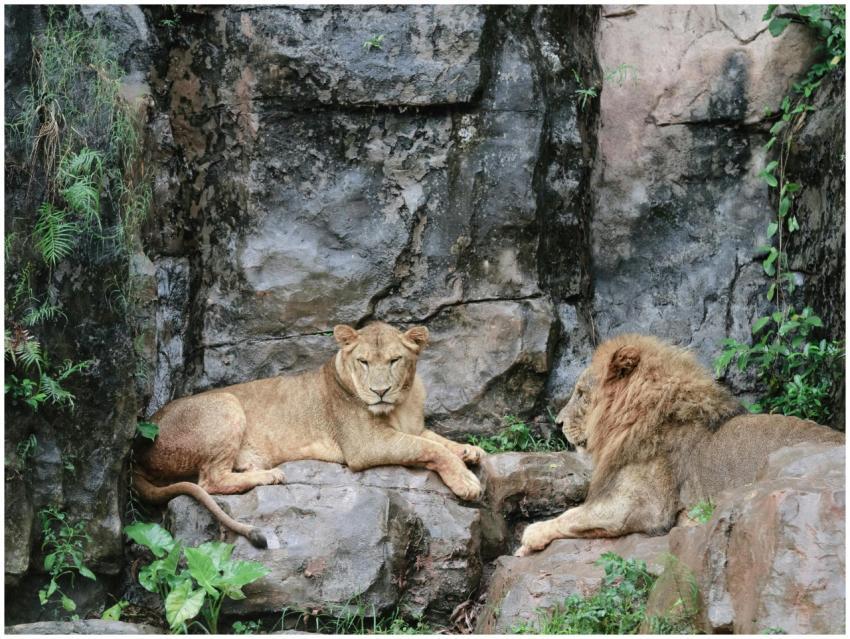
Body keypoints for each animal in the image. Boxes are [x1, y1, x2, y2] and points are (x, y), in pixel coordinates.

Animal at [133, 322, 486, 547]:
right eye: (363, 362)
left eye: (395, 360)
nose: (380, 391)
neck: (402, 402)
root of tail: (138, 449)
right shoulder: (366, 445)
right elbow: (429, 448)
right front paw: (466, 480)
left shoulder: (412, 427)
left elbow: (435, 438)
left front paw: (469, 450)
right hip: (227, 403)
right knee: (210, 480)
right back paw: (270, 476)